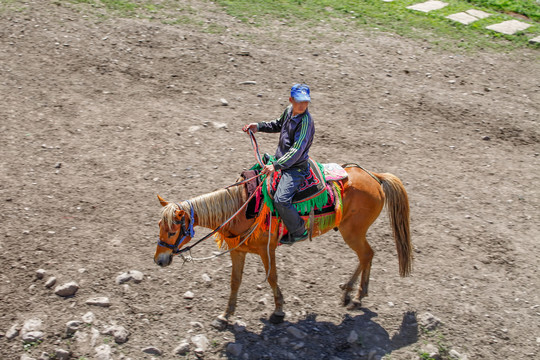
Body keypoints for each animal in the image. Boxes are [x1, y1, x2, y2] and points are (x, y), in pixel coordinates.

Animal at [154, 165, 412, 328]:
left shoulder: (267, 250)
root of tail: (375, 177)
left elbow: (272, 278)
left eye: (172, 230)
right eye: (159, 225)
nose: (159, 260)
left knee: (367, 254)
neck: (240, 206)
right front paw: (225, 316)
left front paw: (278, 311)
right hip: (351, 232)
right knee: (364, 256)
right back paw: (349, 292)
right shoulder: (238, 250)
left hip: (353, 233)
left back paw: (357, 297)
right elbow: (235, 282)